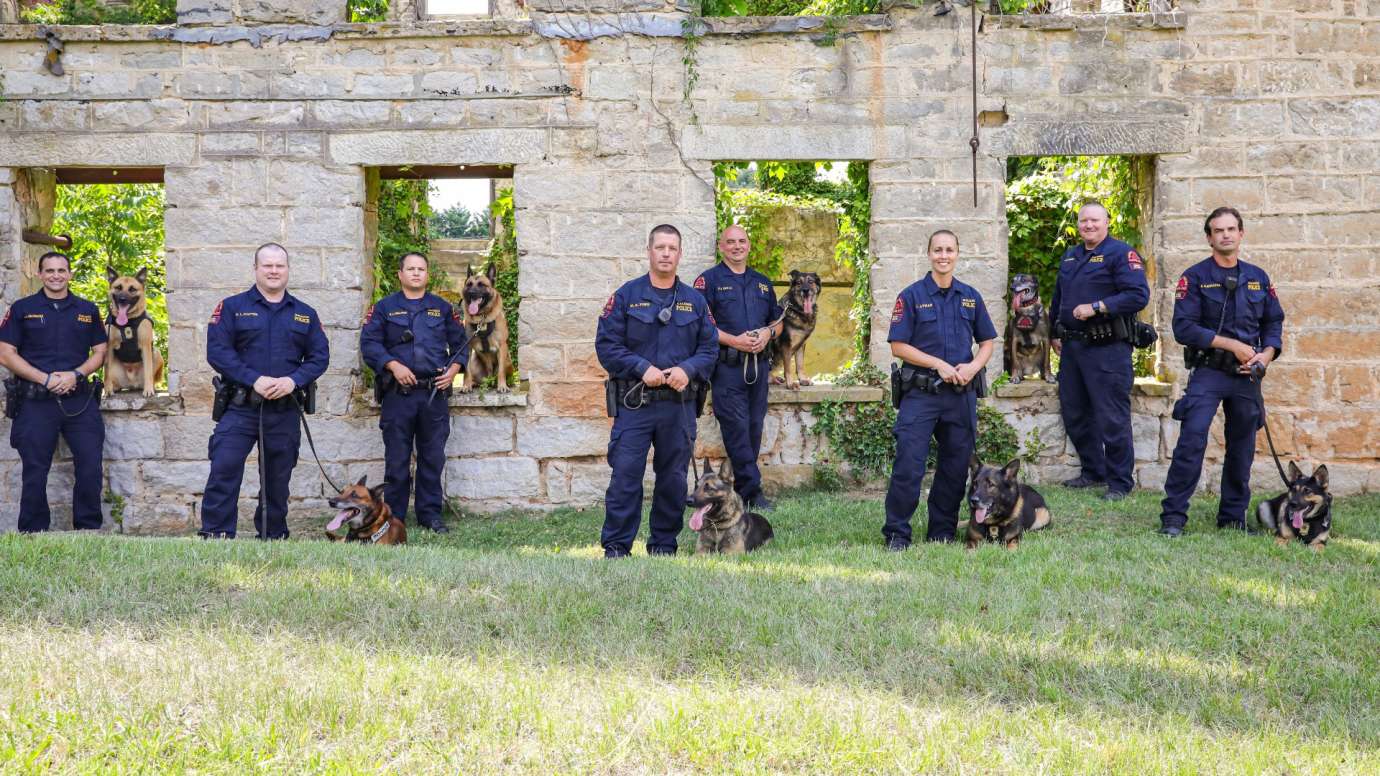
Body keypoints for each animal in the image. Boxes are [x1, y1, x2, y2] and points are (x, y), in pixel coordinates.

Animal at [102, 267, 163, 397]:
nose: (122, 299)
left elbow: (148, 371)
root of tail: (132, 384)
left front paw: (148, 390)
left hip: (156, 353)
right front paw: (108, 390)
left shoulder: (146, 346)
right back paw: (115, 387)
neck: (128, 322)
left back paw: (151, 387)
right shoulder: (109, 347)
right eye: (118, 287)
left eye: (132, 289)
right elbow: (106, 373)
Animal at [460, 262, 510, 392]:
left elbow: (501, 371)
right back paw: (475, 384)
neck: (481, 318)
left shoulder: (502, 346)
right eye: (469, 284)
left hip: (508, 359)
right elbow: (466, 371)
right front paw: (466, 386)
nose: (471, 293)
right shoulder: (467, 348)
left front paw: (502, 386)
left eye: (481, 285)